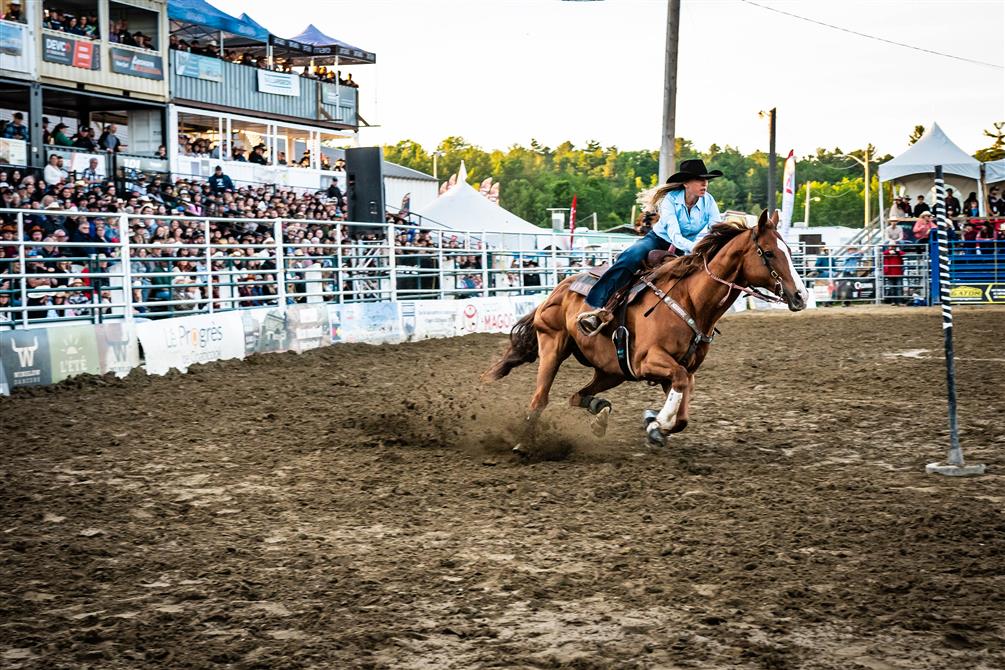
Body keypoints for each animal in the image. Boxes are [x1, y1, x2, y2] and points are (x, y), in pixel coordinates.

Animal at [480, 207, 808, 450]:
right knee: (540, 398)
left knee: (576, 395)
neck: (691, 300)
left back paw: (599, 413)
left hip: (611, 370)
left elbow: (682, 411)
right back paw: (524, 444)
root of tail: (558, 288)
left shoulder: (681, 370)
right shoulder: (649, 361)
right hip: (553, 347)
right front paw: (655, 423)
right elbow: (678, 392)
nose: (801, 296)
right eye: (768, 252)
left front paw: (654, 422)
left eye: (790, 251)